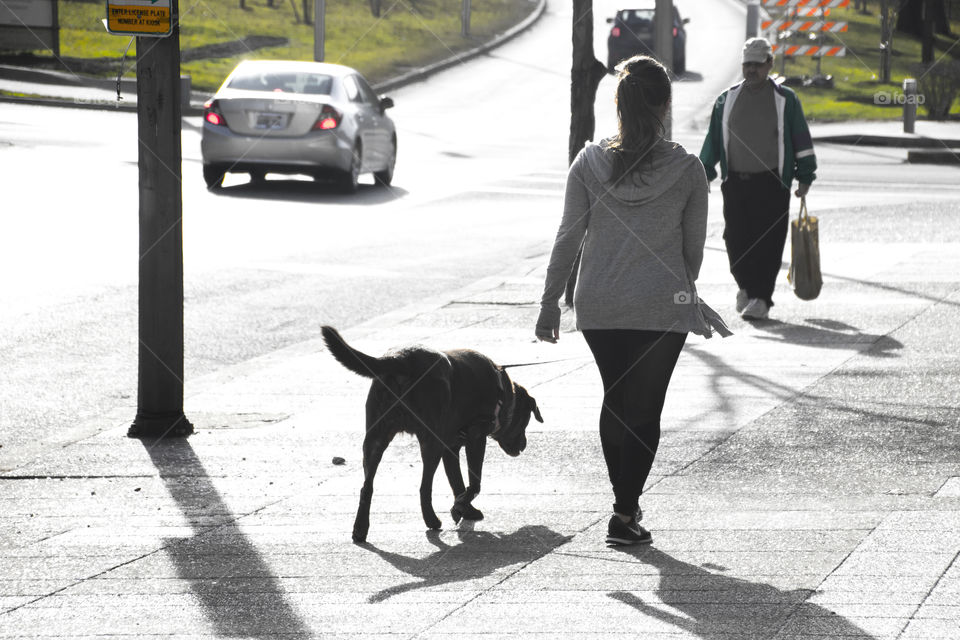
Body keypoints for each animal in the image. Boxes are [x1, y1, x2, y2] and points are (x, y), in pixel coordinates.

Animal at [322, 324, 544, 540]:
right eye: (525, 422)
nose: (524, 446)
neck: (504, 393)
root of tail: (401, 359)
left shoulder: (451, 448)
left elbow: (457, 482)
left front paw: (464, 508)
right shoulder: (475, 438)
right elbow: (474, 482)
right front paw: (462, 506)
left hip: (375, 438)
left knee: (367, 487)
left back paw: (360, 529)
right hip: (430, 442)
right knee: (424, 486)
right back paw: (431, 520)